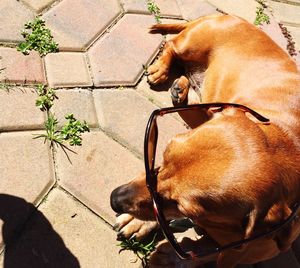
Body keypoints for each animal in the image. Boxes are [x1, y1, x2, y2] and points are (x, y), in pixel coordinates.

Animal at [110, 15, 300, 268]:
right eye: (164, 154)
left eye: (180, 205)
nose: (114, 199)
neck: (287, 138)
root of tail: (224, 16)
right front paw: (138, 221)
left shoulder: (253, 246)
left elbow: (207, 251)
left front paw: (172, 253)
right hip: (190, 45)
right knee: (171, 44)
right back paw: (164, 72)